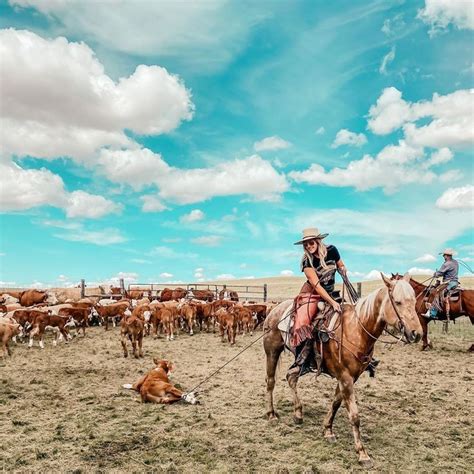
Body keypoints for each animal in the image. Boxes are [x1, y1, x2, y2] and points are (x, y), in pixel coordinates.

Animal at [262, 274, 422, 466]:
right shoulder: (345, 378)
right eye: (397, 302)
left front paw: (328, 430)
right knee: (271, 381)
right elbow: (354, 415)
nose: (417, 334)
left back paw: (298, 413)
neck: (356, 330)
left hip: (301, 363)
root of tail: (274, 309)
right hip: (272, 351)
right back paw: (272, 414)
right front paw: (362, 453)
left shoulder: (348, 377)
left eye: (414, 301)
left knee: (291, 377)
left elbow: (336, 403)